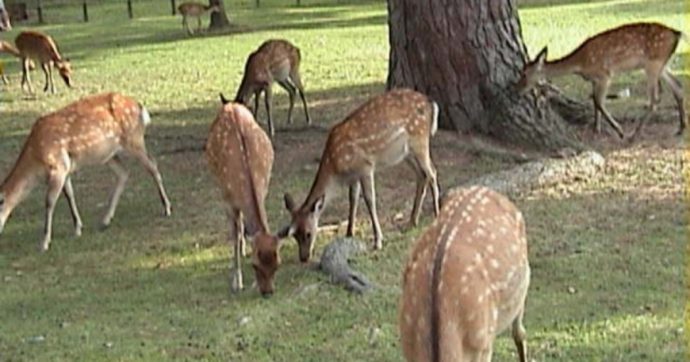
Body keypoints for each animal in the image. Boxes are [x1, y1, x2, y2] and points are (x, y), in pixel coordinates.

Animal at [0, 92, 171, 252]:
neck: (36, 160)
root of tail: (140, 107)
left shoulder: (58, 167)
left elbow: (49, 202)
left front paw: (44, 243)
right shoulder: (66, 169)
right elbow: (70, 194)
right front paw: (78, 228)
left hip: (134, 140)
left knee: (153, 165)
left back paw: (167, 208)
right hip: (109, 154)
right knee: (124, 172)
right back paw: (106, 220)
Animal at [204, 97, 282, 296]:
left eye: (277, 264)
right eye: (255, 265)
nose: (267, 292)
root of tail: (230, 104)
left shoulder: (264, 189)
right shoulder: (227, 199)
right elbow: (235, 232)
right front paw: (237, 281)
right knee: (238, 226)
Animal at [280, 87, 438, 264]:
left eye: (308, 233)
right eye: (294, 234)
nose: (304, 257)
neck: (335, 167)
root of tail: (431, 104)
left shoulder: (365, 167)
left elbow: (369, 200)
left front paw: (378, 241)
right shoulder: (353, 176)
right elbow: (353, 199)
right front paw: (349, 233)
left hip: (420, 141)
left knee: (432, 173)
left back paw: (436, 214)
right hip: (406, 153)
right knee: (422, 175)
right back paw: (412, 221)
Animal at [516, 22, 684, 139]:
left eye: (524, 73)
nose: (516, 88)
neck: (580, 63)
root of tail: (677, 34)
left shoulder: (605, 74)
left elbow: (599, 102)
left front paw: (619, 131)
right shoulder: (594, 80)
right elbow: (595, 102)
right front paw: (596, 129)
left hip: (653, 64)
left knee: (655, 99)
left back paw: (634, 135)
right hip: (662, 64)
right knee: (678, 86)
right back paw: (681, 128)